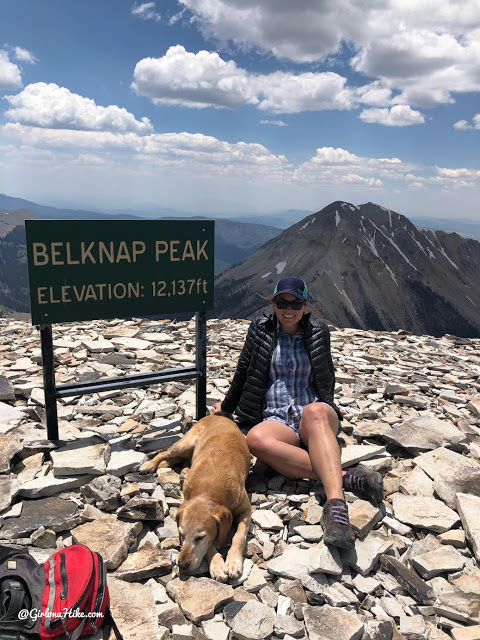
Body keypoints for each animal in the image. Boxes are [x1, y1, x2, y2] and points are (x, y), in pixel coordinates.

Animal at [140, 412, 249, 584]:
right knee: (164, 452)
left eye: (200, 537)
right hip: (184, 443)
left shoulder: (246, 510)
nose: (182, 564)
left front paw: (233, 562)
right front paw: (217, 564)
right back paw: (150, 464)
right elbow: (210, 546)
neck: (209, 491)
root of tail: (215, 415)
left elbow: (239, 535)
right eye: (181, 534)